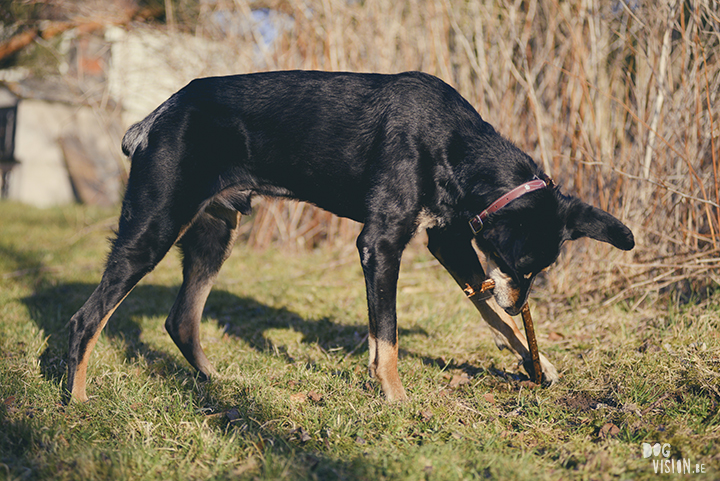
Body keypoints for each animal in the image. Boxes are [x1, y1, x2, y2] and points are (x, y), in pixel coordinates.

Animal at [66, 70, 632, 402]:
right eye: (525, 267)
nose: (522, 302)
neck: (454, 142)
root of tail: (155, 117)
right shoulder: (381, 244)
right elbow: (390, 336)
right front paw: (397, 400)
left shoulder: (447, 242)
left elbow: (490, 315)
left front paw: (542, 364)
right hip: (154, 227)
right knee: (85, 319)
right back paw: (77, 402)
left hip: (214, 232)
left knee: (182, 320)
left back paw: (218, 387)